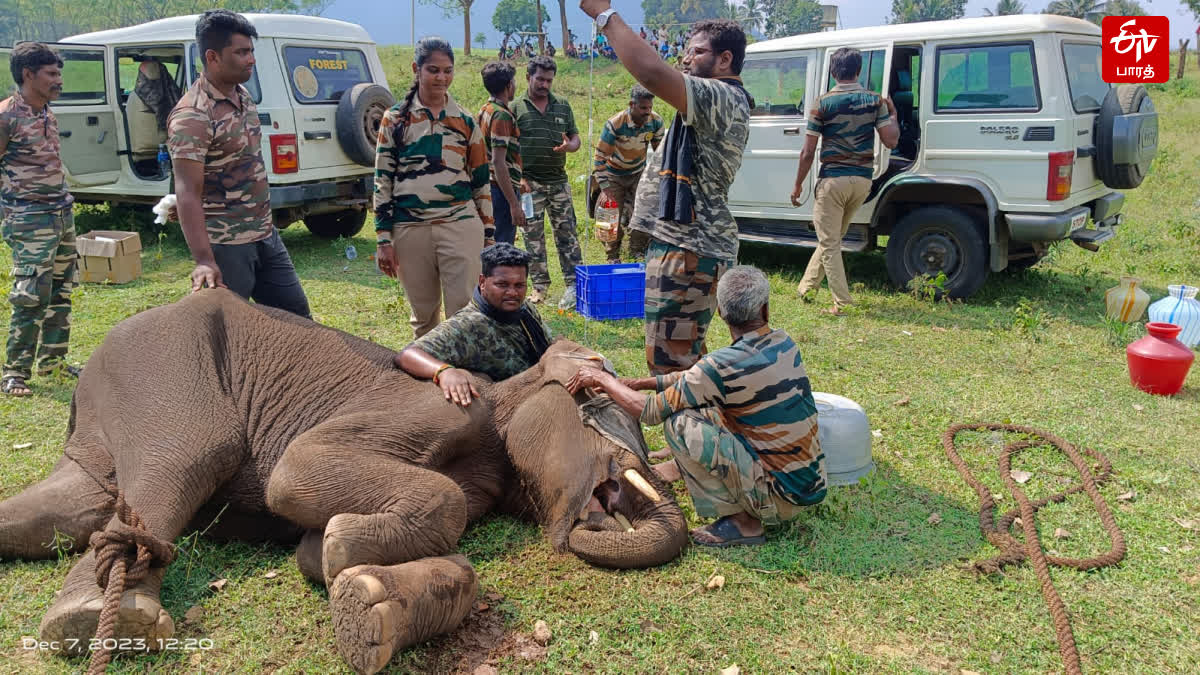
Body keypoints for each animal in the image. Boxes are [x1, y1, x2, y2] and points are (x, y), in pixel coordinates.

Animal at [0, 289, 686, 672]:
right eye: (596, 395)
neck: (503, 390)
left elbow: (315, 548)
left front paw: (341, 566)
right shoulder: (441, 408)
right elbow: (294, 473)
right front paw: (340, 552)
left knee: (76, 502)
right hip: (164, 369)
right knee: (185, 456)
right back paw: (108, 619)